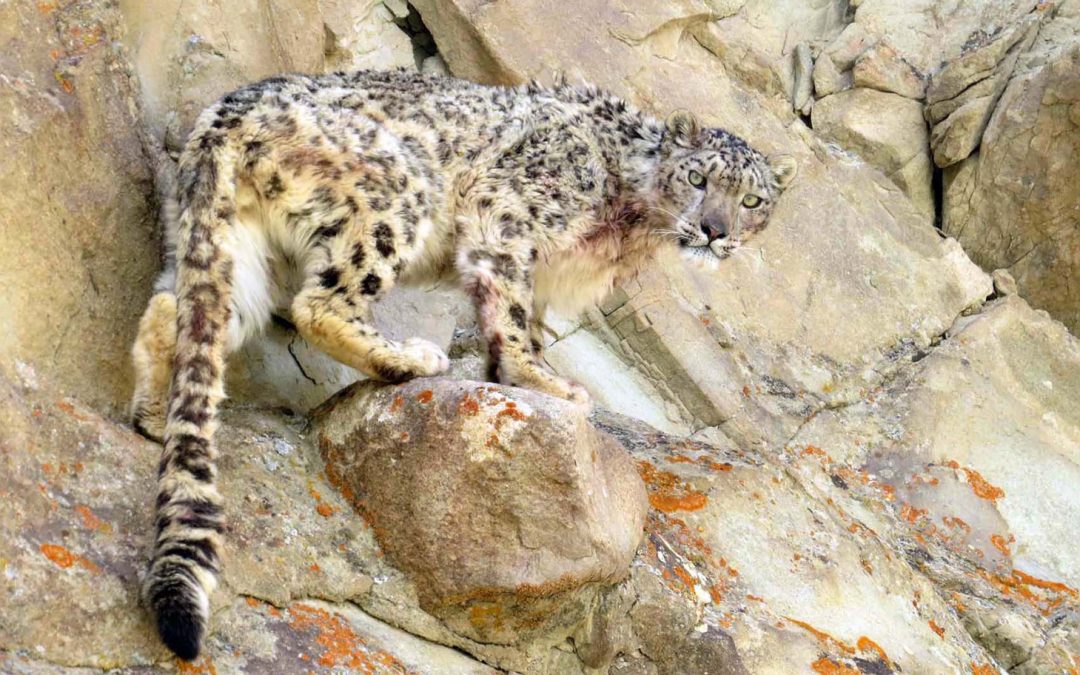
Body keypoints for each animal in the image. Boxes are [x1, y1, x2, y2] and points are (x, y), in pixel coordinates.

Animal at [129, 68, 797, 660]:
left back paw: (156, 415)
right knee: (320, 303)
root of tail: (228, 111)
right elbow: (513, 308)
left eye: (752, 199)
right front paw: (544, 381)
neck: (628, 222)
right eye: (697, 176)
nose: (714, 231)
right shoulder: (514, 211)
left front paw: (515, 372)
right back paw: (408, 359)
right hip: (396, 193)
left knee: (181, 312)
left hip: (241, 247)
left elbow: (521, 317)